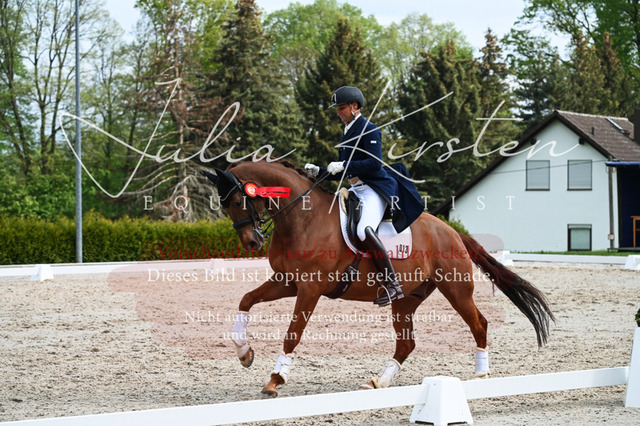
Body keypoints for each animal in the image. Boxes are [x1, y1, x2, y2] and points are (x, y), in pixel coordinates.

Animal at [204, 159, 554, 397]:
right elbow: (246, 299)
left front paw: (275, 380)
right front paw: (244, 353)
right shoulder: (287, 282)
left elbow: (293, 334)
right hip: (407, 299)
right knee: (407, 343)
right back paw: (379, 380)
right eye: (226, 205)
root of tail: (452, 231)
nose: (252, 242)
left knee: (479, 323)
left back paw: (481, 376)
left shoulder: (310, 288)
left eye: (238, 200)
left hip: (455, 288)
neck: (302, 219)